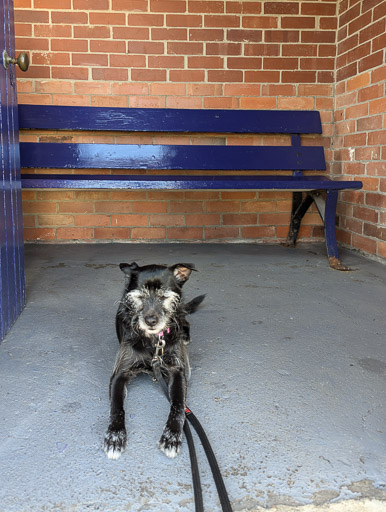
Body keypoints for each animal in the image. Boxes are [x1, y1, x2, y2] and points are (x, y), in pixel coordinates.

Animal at [104, 262, 204, 458]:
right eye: (139, 296)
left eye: (164, 296)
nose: (150, 321)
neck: (153, 341)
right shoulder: (119, 374)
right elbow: (117, 407)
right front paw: (115, 435)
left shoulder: (178, 371)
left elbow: (178, 405)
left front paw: (172, 436)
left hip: (180, 314)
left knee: (184, 319)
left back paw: (185, 334)